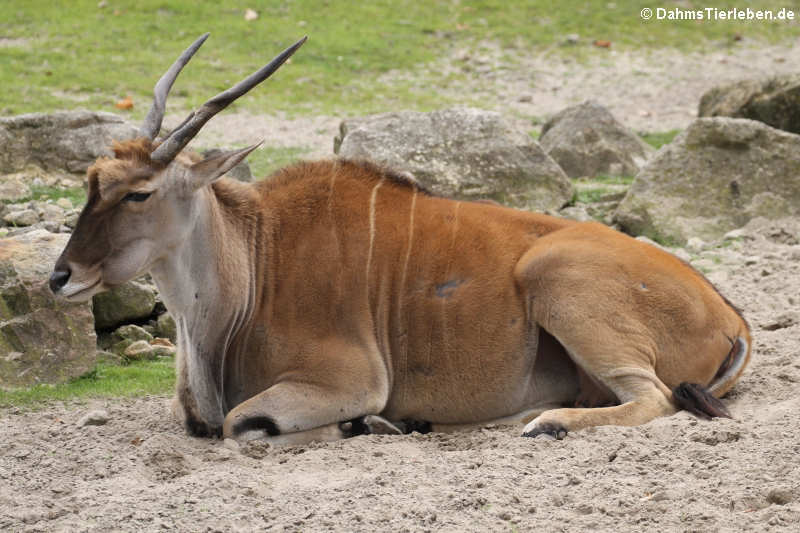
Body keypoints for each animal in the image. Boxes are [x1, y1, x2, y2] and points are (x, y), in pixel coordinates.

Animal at [48, 34, 752, 444]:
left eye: (138, 193)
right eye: (90, 182)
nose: (60, 276)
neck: (256, 264)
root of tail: (731, 316)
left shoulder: (347, 380)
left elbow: (238, 422)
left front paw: (354, 425)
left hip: (557, 278)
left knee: (651, 399)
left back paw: (549, 423)